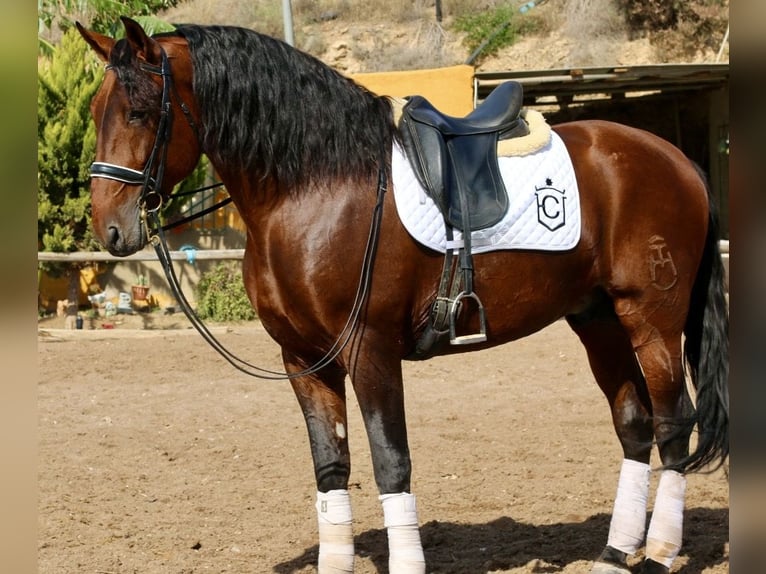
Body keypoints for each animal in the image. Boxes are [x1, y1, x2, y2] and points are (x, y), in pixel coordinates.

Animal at [78, 18, 732, 574]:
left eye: (139, 112)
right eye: (95, 111)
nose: (110, 229)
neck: (316, 187)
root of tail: (677, 159)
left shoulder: (369, 350)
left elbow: (391, 463)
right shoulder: (304, 360)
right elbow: (332, 466)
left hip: (650, 318)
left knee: (674, 424)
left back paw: (658, 555)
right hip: (597, 320)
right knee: (635, 426)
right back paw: (615, 554)